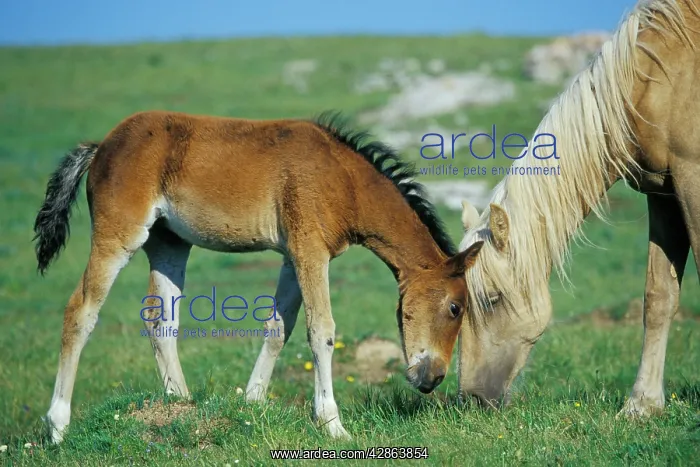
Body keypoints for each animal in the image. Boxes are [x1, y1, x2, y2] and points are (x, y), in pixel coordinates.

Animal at [33, 110, 484, 442]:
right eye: (455, 307)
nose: (432, 379)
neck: (342, 178)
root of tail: (102, 146)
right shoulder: (310, 253)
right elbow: (321, 331)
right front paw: (333, 425)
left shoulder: (292, 257)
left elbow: (278, 327)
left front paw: (252, 405)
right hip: (119, 236)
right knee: (80, 312)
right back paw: (58, 426)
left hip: (168, 244)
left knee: (161, 321)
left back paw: (181, 405)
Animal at [456, 0, 700, 415]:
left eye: (492, 299)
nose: (470, 398)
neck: (659, 78)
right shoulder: (664, 195)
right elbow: (659, 297)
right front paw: (641, 405)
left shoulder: (692, 180)